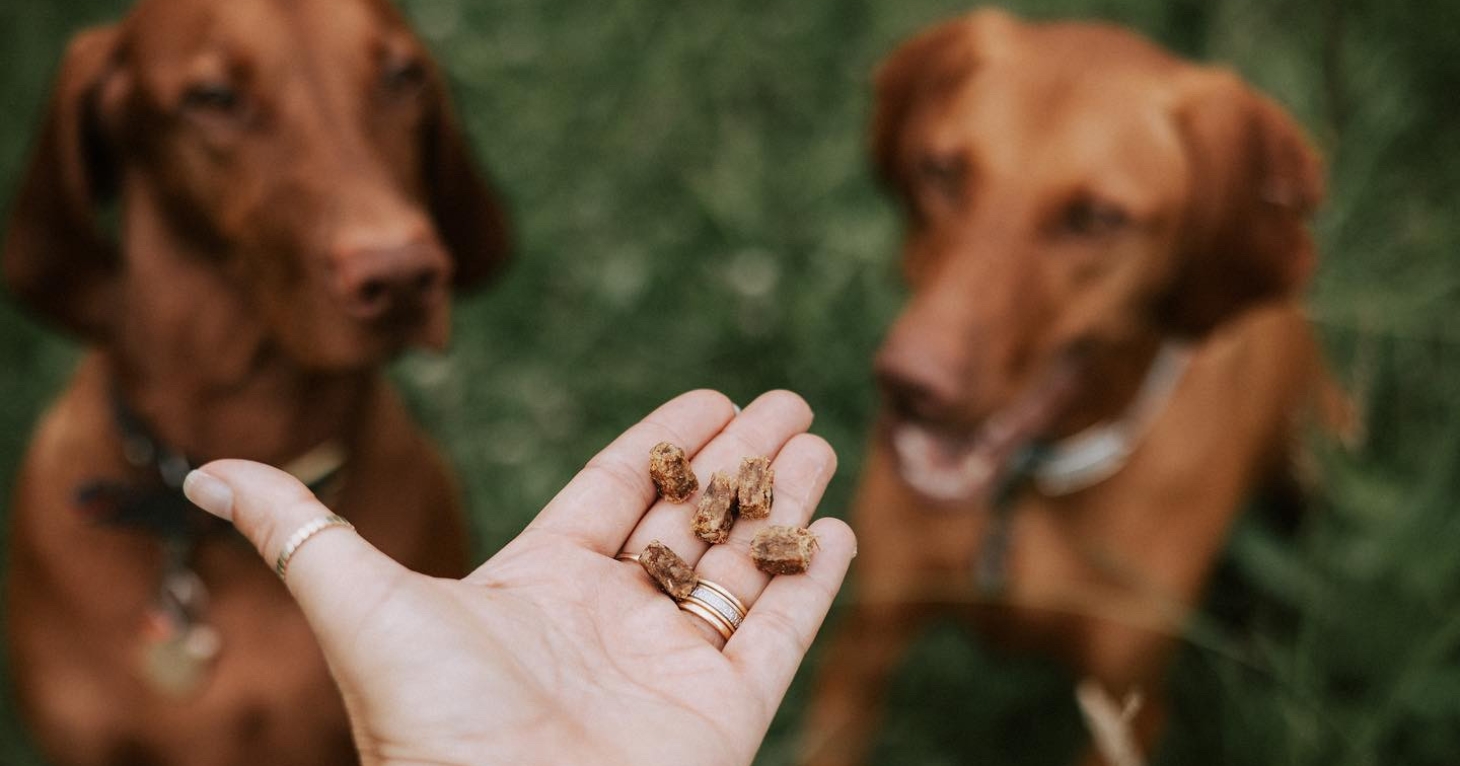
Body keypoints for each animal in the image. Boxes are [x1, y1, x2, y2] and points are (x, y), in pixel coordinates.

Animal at [802, 10, 1349, 765]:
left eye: (1096, 218)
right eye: (943, 171)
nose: (907, 382)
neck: (1025, 492)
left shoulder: (1124, 709)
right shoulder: (861, 650)